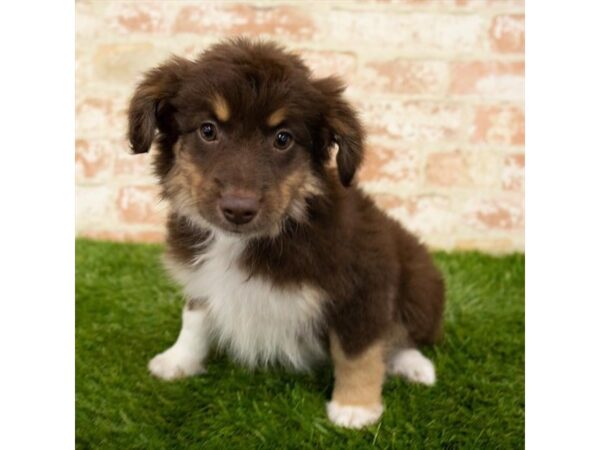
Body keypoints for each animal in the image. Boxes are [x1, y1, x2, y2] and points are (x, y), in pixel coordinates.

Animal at [127, 38, 446, 428]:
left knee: (402, 336)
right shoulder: (203, 276)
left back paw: (415, 367)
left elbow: (358, 350)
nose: (238, 210)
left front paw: (355, 408)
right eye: (207, 129)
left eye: (283, 138)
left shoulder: (365, 283)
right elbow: (195, 317)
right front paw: (178, 360)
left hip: (421, 281)